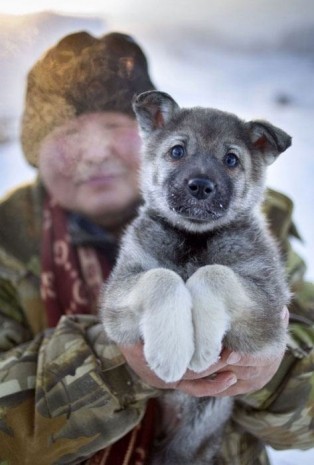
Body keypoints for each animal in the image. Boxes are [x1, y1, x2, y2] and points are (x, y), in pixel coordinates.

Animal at [102, 91, 290, 464]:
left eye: (231, 159)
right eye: (177, 151)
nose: (201, 186)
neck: (195, 238)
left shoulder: (269, 313)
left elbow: (214, 273)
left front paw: (202, 345)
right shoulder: (117, 298)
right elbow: (161, 277)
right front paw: (171, 350)